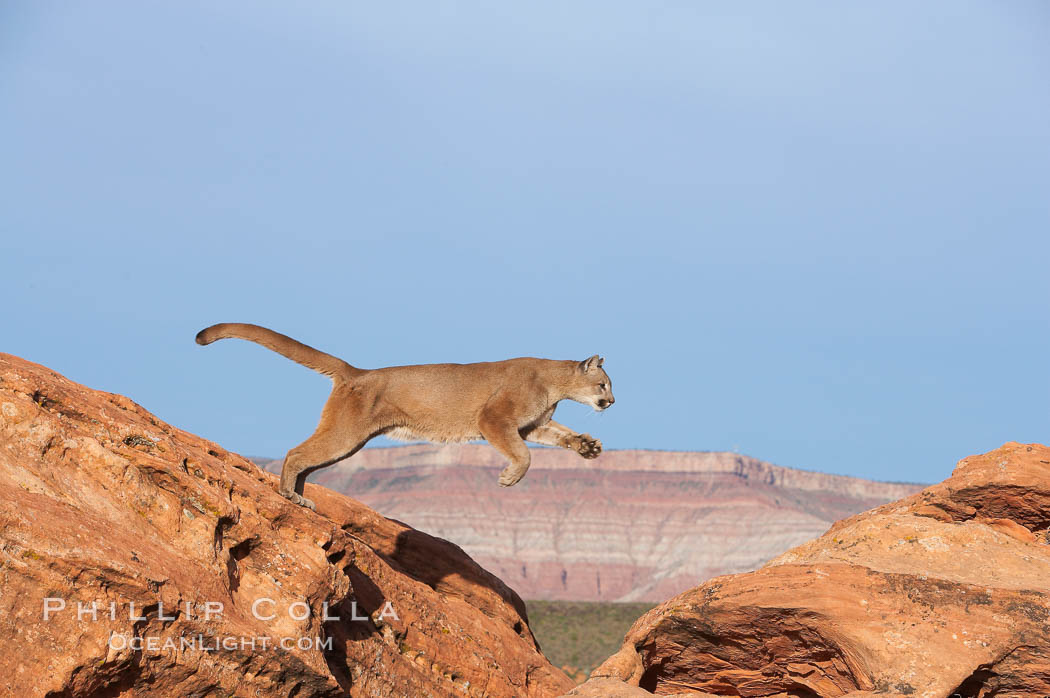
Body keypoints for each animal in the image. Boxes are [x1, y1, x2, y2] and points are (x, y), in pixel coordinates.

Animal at [195, 323, 613, 510]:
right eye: (603, 384)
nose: (612, 402)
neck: (554, 382)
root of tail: (357, 372)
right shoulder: (495, 419)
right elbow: (523, 455)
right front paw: (509, 478)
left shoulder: (531, 425)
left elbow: (559, 436)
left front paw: (588, 446)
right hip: (346, 434)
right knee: (296, 453)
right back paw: (290, 496)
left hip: (349, 441)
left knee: (306, 460)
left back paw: (299, 495)